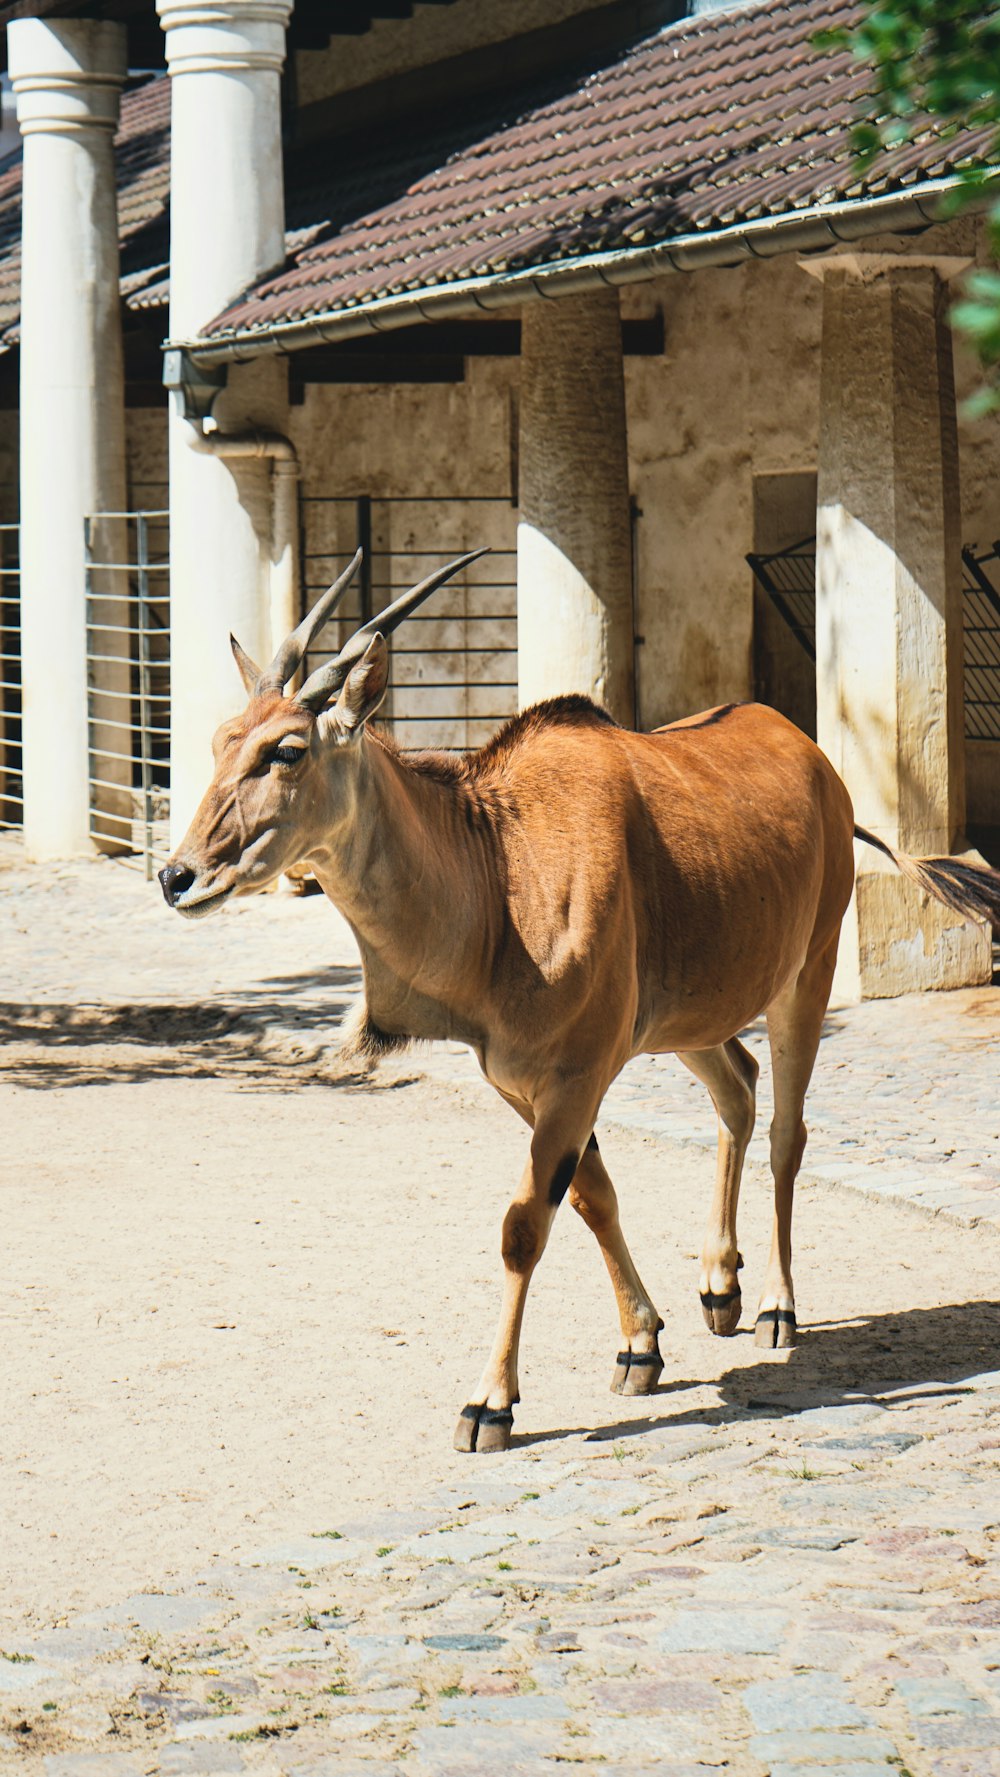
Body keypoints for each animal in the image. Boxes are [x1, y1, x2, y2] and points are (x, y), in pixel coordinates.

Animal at [158, 547, 1000, 1450]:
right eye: (220, 741)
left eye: (285, 750)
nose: (177, 876)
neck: (500, 863)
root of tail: (818, 763)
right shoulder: (529, 1081)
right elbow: (594, 1196)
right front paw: (641, 1344)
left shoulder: (574, 1076)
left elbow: (524, 1225)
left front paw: (490, 1401)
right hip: (689, 1022)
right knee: (738, 1090)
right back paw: (720, 1285)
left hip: (803, 981)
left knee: (786, 1131)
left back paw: (777, 1305)